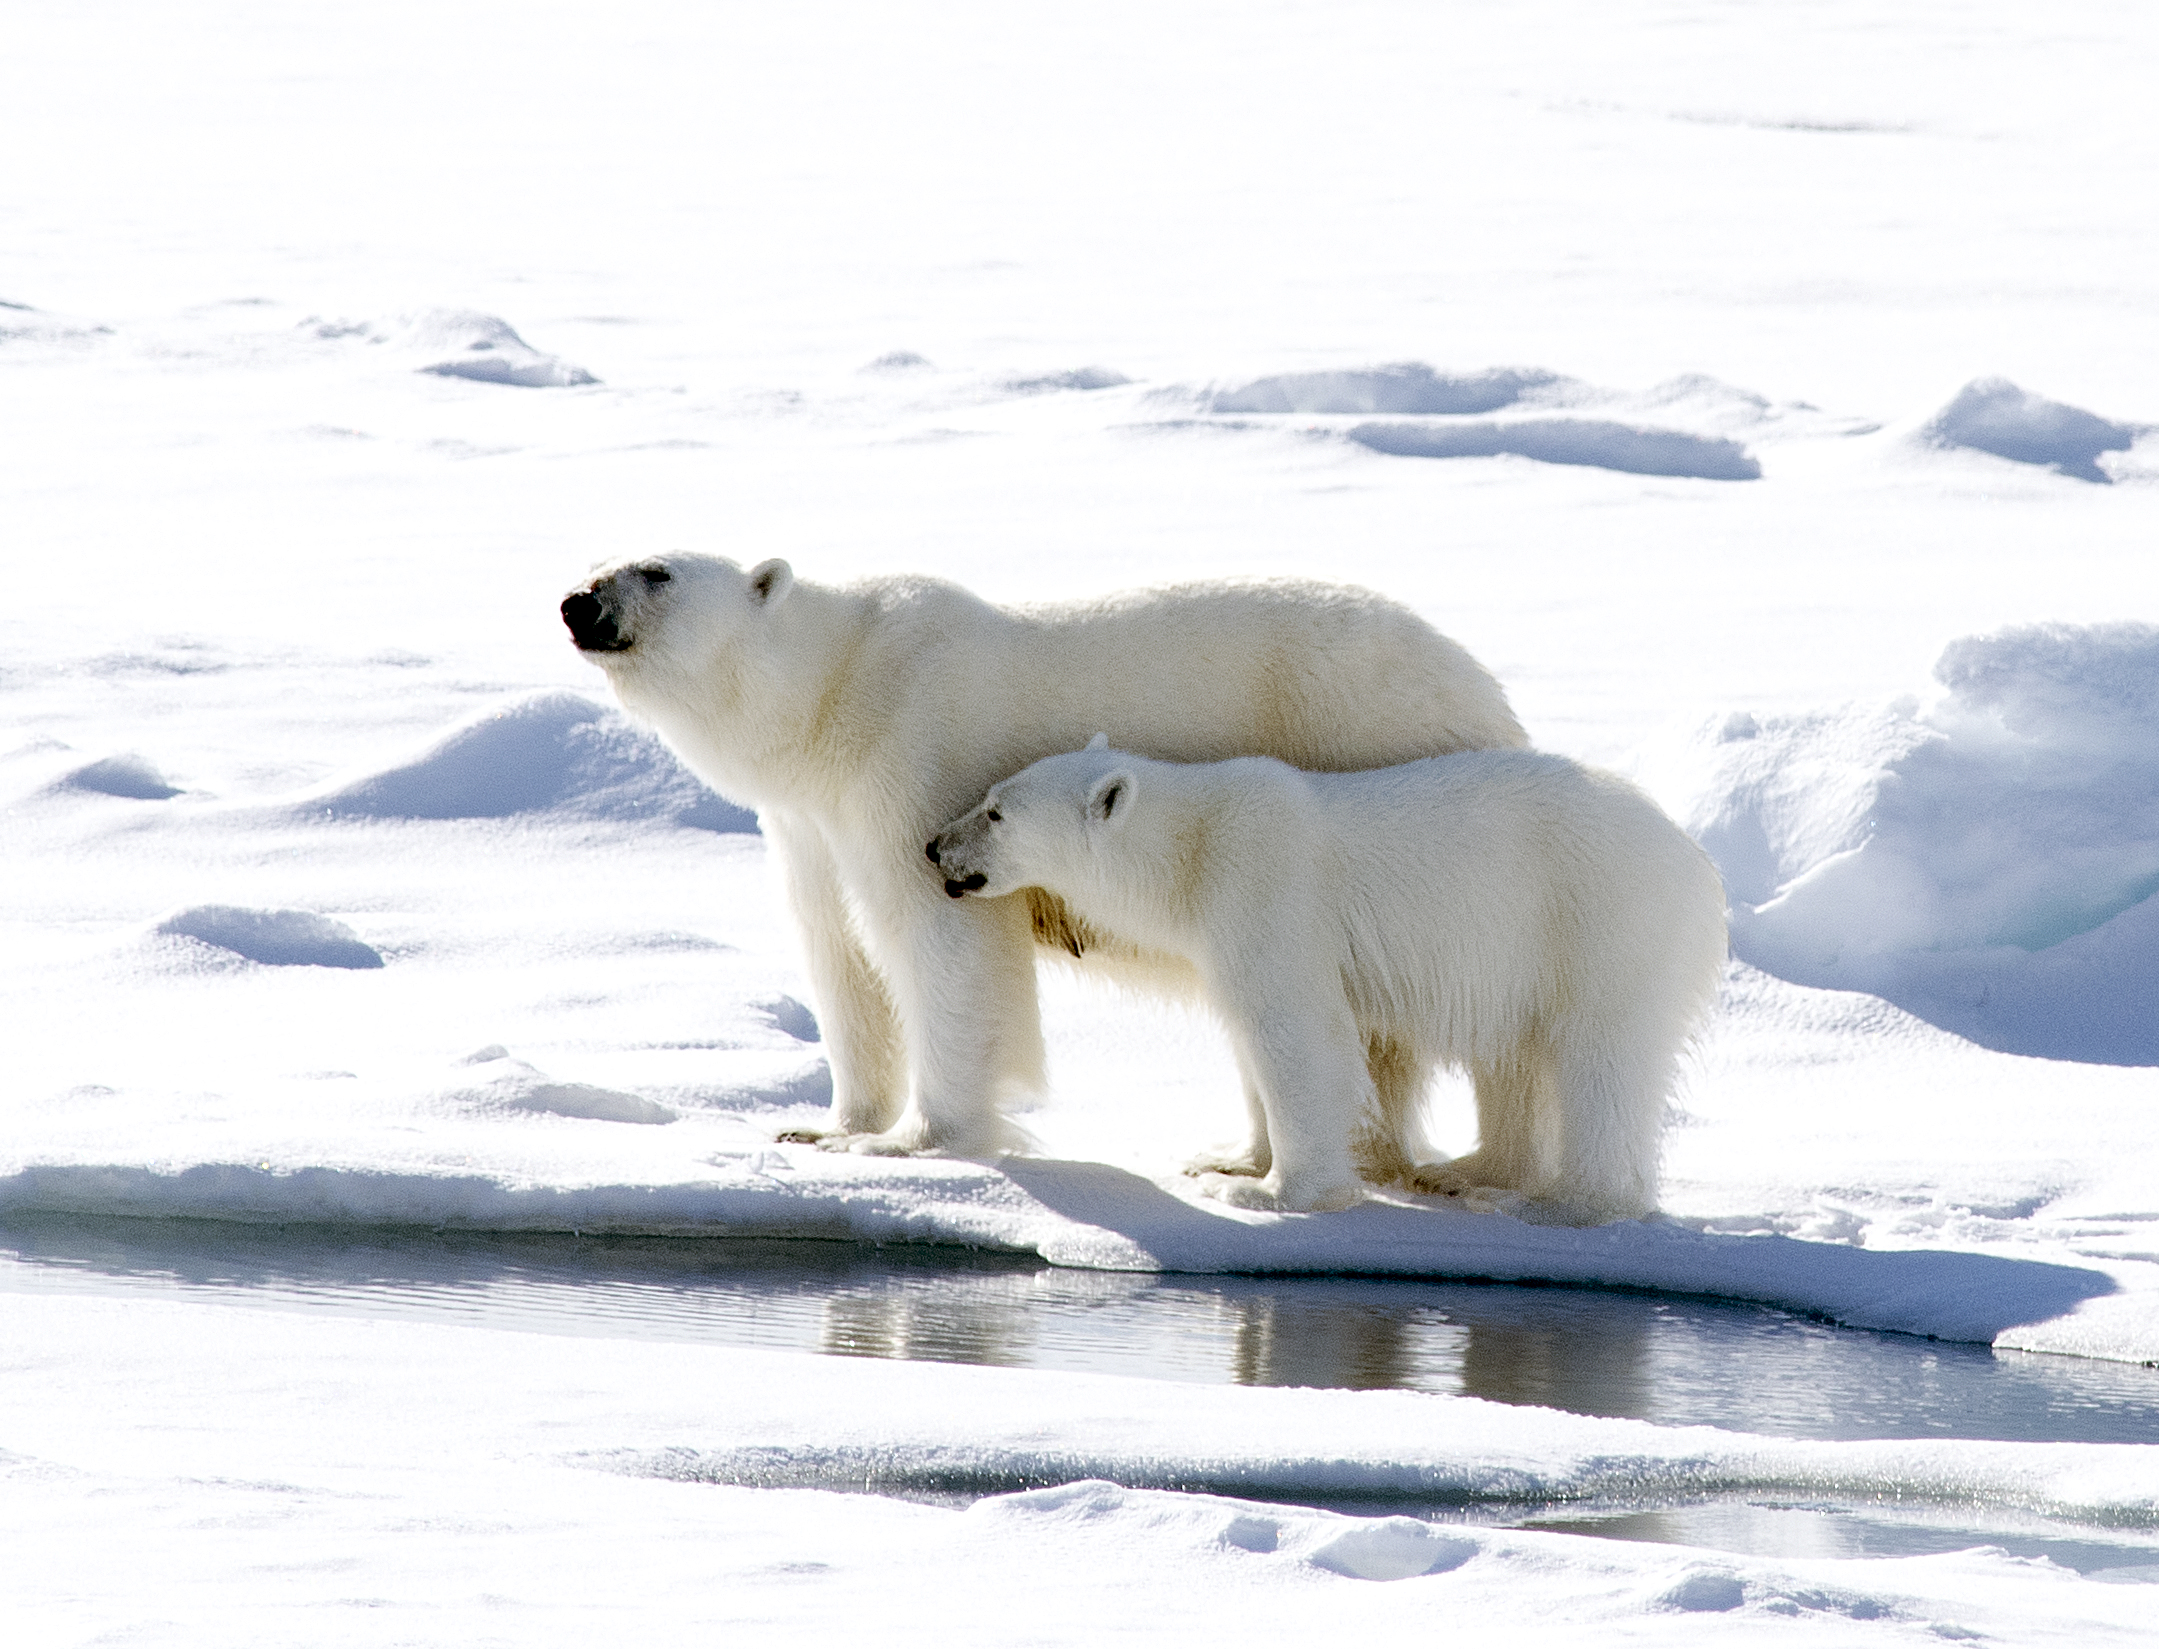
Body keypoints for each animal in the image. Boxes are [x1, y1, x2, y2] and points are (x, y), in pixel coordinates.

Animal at [565, 552, 1528, 1156]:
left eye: (659, 570)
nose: (578, 601)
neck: (835, 690)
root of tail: (1489, 695)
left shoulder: (916, 752)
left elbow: (944, 939)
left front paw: (920, 1138)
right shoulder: (809, 819)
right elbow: (839, 951)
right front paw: (829, 1125)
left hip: (1374, 759)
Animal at [937, 742, 1727, 1217]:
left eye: (996, 811)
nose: (933, 846)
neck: (1192, 849)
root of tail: (1698, 865)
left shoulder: (1266, 889)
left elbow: (1297, 1033)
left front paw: (1271, 1192)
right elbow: (1247, 1038)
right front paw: (1228, 1159)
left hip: (1598, 925)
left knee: (1599, 1061)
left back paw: (1556, 1202)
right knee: (1515, 1057)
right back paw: (1469, 1170)